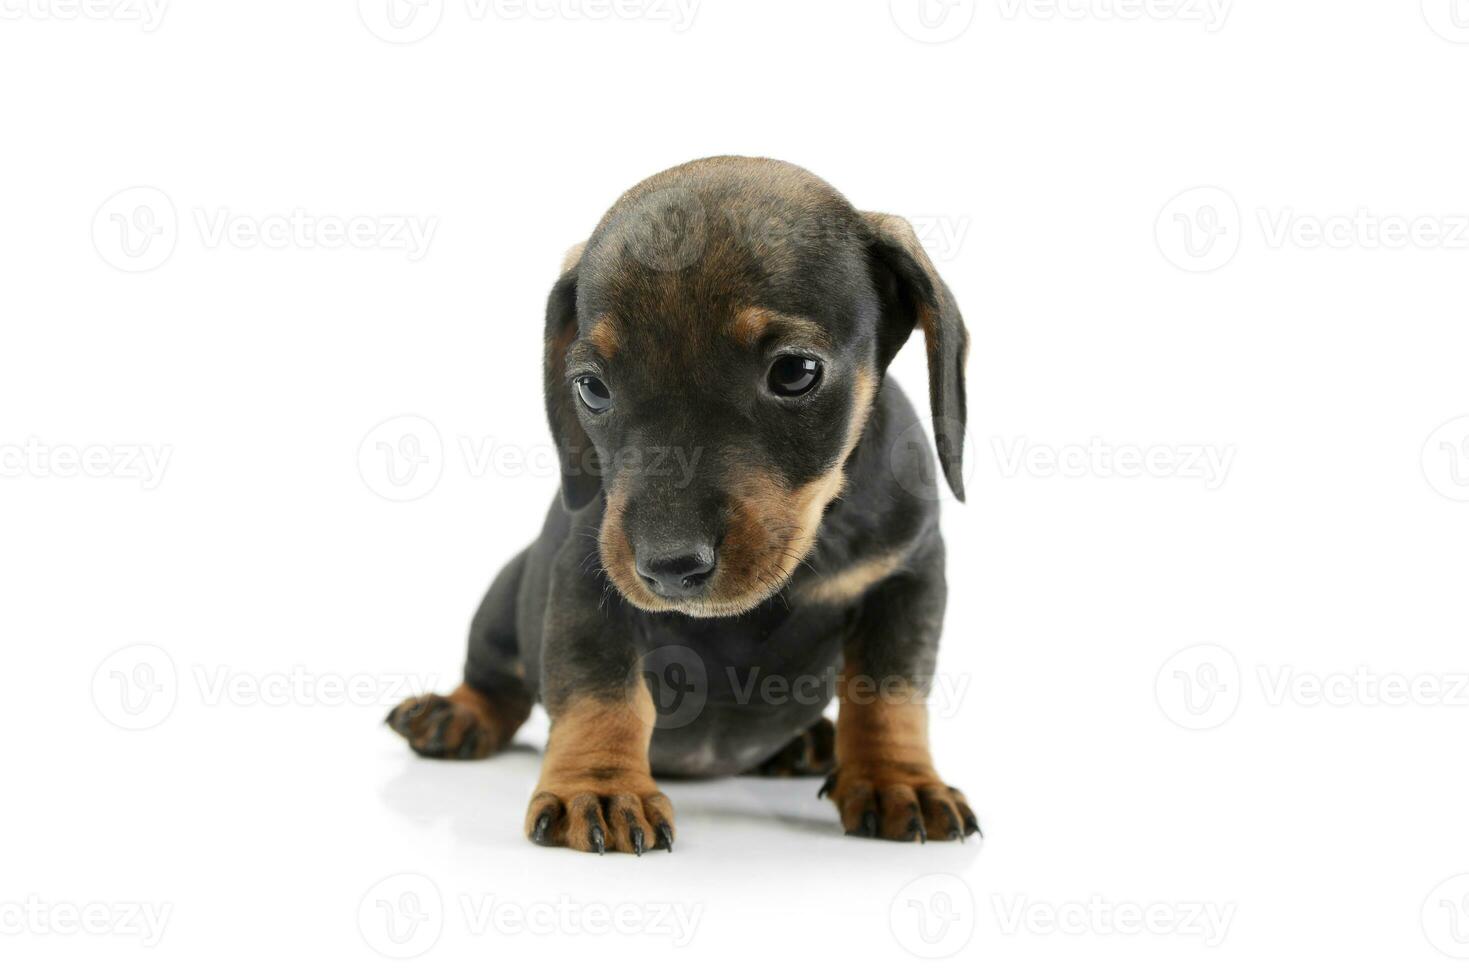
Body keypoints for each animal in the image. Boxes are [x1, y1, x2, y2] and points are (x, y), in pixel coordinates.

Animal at [390, 157, 981, 852]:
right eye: (591, 387)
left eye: (795, 372)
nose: (669, 566)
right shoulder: (585, 583)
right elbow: (601, 686)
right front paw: (601, 786)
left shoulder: (907, 575)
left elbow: (889, 691)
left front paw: (896, 779)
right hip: (504, 598)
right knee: (495, 680)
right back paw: (455, 713)